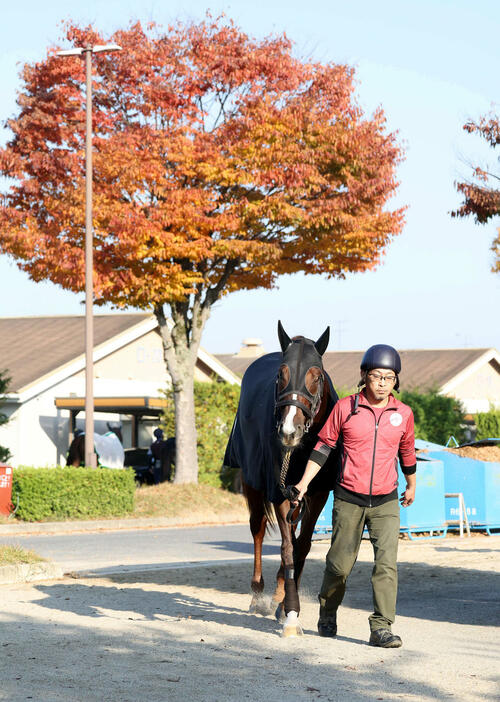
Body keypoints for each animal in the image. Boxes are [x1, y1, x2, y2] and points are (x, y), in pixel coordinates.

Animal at [226, 324, 340, 640]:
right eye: (281, 374)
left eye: (317, 375)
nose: (289, 431)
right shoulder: (279, 494)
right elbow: (287, 548)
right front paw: (291, 614)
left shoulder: (317, 494)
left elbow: (302, 547)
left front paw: (285, 605)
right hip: (252, 483)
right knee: (257, 529)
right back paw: (258, 594)